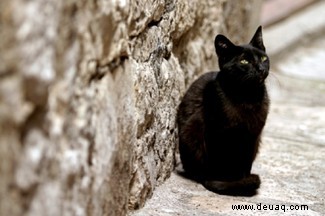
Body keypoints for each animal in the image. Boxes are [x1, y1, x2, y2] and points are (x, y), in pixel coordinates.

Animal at [177, 25, 268, 196]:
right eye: (244, 61)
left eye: (263, 59)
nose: (261, 68)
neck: (248, 98)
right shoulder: (217, 133)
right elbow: (220, 160)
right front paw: (226, 183)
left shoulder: (252, 137)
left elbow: (245, 163)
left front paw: (241, 181)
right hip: (191, 129)